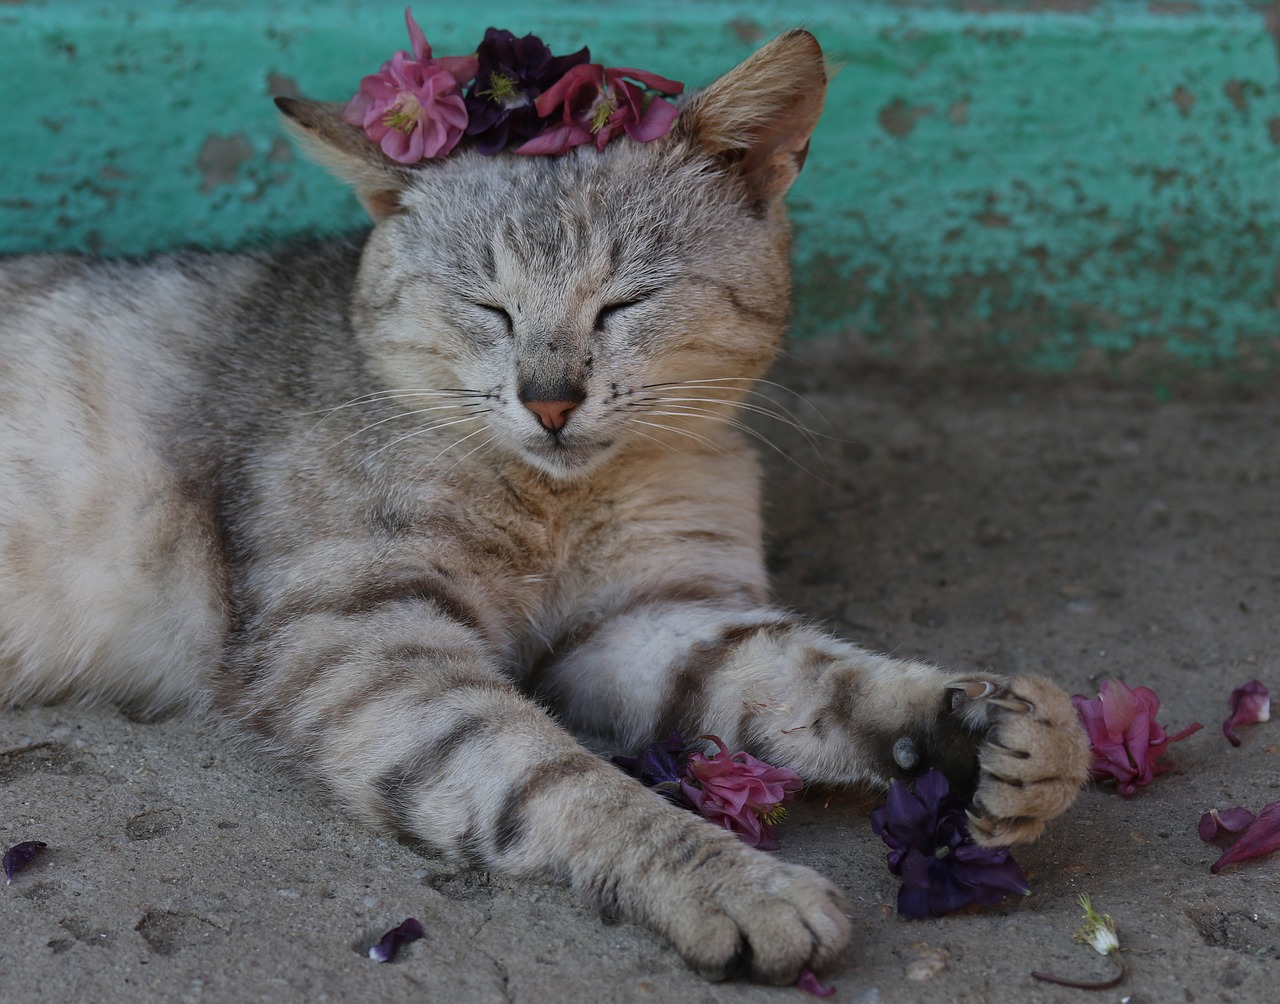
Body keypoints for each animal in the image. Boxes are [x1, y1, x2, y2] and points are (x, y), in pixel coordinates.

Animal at [0, 29, 1090, 978]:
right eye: (488, 308)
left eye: (624, 303)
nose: (551, 397)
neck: (557, 502)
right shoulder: (362, 638)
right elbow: (555, 774)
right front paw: (727, 879)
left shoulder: (642, 618)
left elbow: (817, 675)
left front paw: (982, 724)